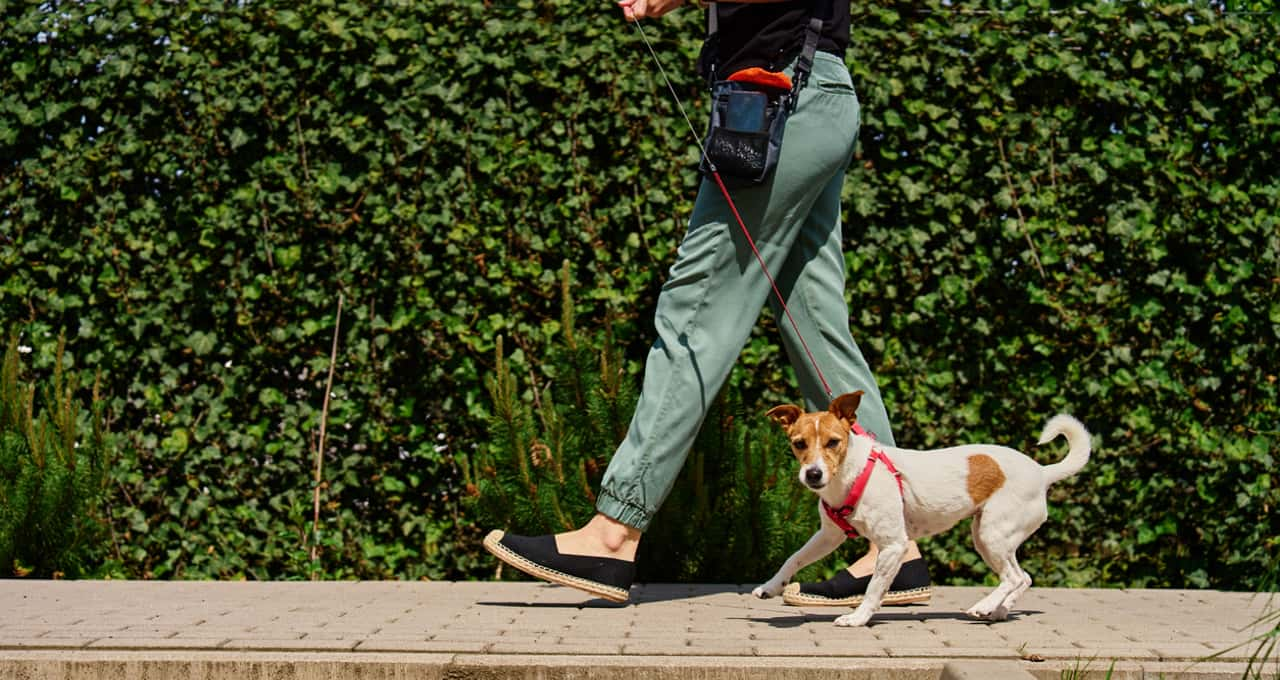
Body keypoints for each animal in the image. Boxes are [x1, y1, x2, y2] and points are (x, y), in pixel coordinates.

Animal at [747, 391, 1090, 624]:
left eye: (833, 442)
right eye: (799, 444)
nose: (813, 474)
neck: (851, 474)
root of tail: (1042, 472)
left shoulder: (893, 546)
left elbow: (874, 587)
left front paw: (858, 618)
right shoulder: (829, 536)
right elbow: (794, 558)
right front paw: (771, 586)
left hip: (992, 533)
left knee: (1013, 578)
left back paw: (984, 606)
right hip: (989, 537)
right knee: (1024, 577)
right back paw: (998, 610)